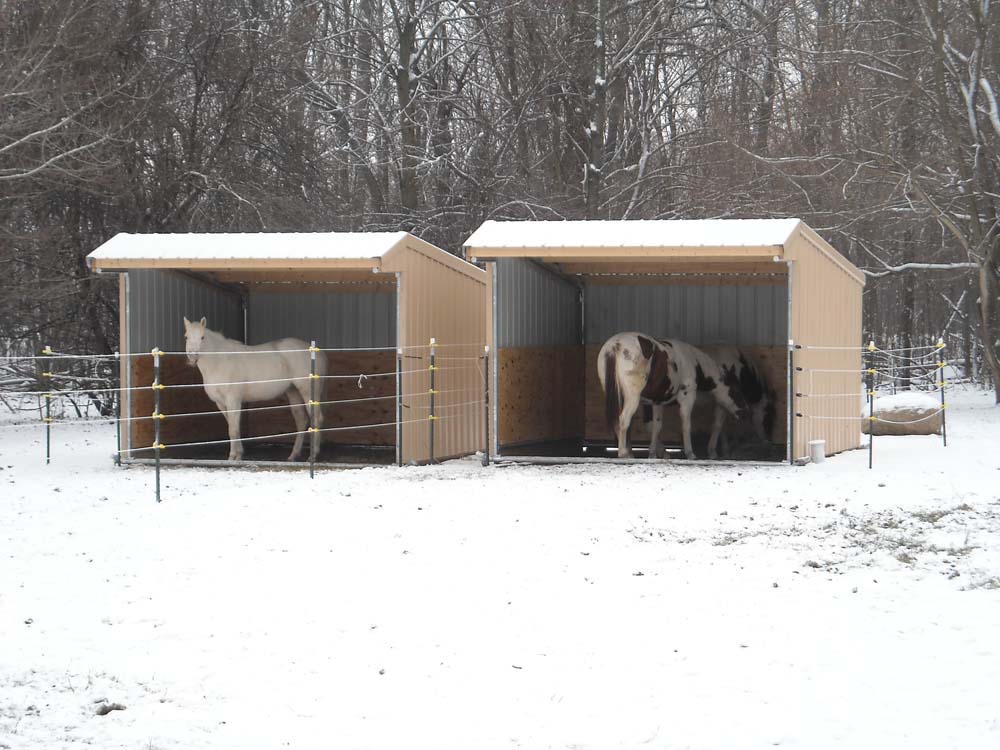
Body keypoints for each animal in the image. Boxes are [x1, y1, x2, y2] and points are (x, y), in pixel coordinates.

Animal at [182, 316, 326, 462]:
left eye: (202, 337)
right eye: (186, 337)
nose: (192, 356)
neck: (220, 360)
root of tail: (318, 353)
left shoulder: (233, 401)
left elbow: (233, 430)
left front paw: (233, 456)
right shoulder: (221, 403)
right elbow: (233, 427)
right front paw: (239, 454)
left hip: (308, 392)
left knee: (316, 418)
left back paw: (313, 455)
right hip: (293, 392)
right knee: (301, 420)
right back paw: (293, 455)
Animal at [596, 334, 748, 462]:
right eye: (735, 391)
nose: (744, 412)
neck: (692, 361)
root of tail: (616, 346)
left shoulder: (656, 402)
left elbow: (656, 426)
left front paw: (654, 454)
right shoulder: (687, 398)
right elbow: (686, 425)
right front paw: (690, 454)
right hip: (632, 398)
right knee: (623, 420)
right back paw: (623, 453)